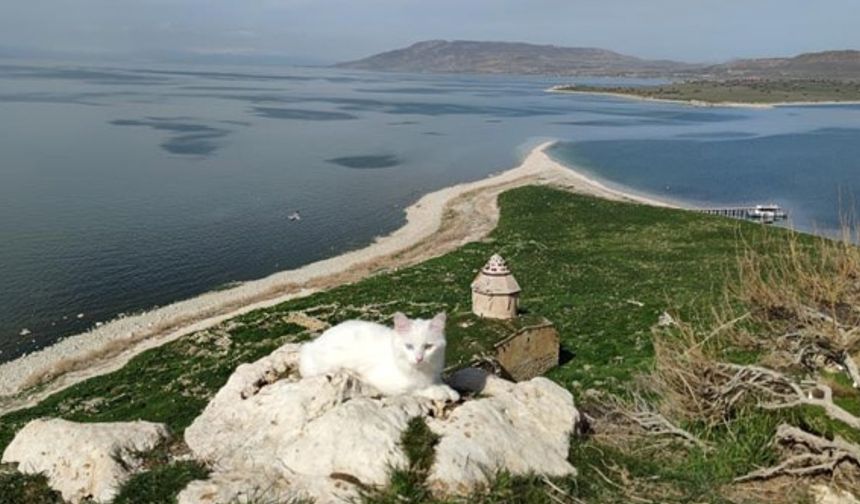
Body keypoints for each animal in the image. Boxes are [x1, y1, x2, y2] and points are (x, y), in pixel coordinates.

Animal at [298, 312, 460, 402]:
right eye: (409, 346)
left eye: (428, 347)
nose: (419, 358)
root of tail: (311, 344)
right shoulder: (390, 384)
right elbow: (418, 389)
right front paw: (440, 393)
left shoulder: (435, 376)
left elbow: (441, 384)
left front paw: (450, 391)